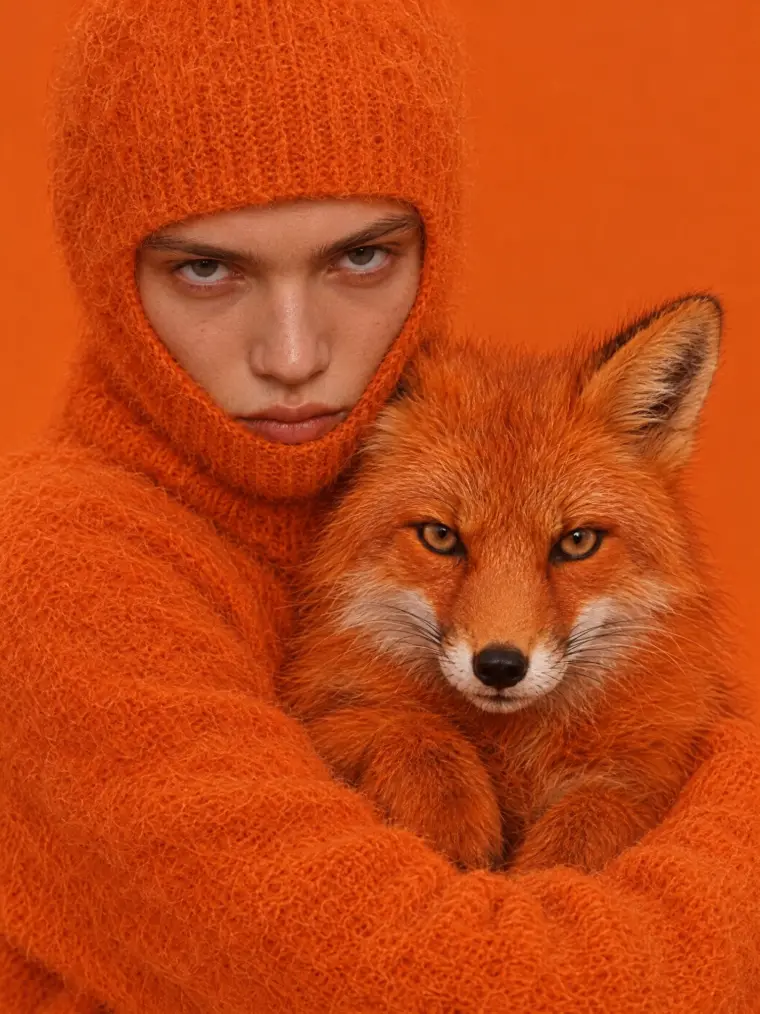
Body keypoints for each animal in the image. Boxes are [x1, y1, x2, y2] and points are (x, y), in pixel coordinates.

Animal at [282, 294, 741, 873]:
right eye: (440, 536)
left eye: (576, 542)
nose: (500, 666)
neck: (516, 750)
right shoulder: (328, 711)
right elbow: (409, 726)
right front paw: (453, 821)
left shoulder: (657, 760)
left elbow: (603, 807)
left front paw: (552, 863)